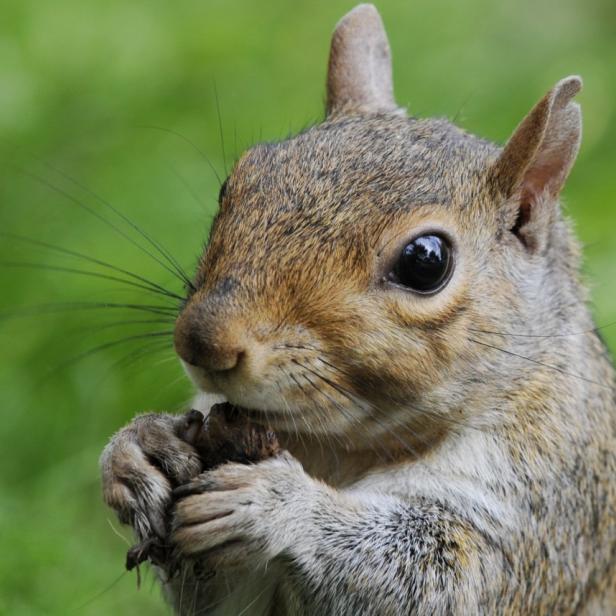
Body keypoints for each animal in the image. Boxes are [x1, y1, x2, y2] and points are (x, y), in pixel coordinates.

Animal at [100, 4, 616, 616]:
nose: (203, 341)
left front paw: (276, 504)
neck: (338, 450)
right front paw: (138, 450)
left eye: (426, 261)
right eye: (237, 181)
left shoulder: (539, 513)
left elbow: (436, 582)